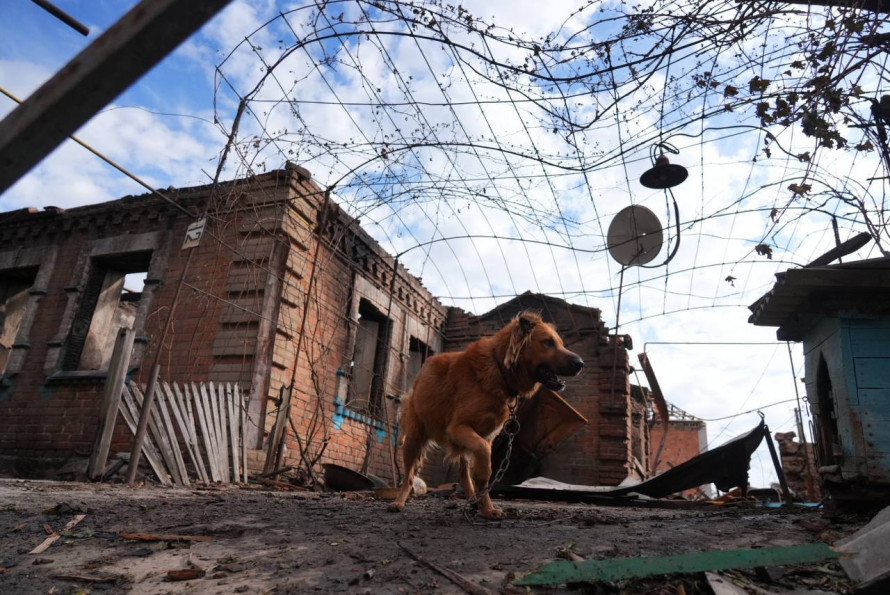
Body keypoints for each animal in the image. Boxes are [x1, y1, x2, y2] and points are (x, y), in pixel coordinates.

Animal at [386, 312, 584, 516]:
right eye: (548, 342)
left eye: (560, 343)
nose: (581, 364)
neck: (500, 369)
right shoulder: (458, 429)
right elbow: (484, 462)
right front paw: (486, 503)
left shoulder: (485, 436)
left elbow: (482, 471)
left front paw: (486, 507)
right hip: (414, 438)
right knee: (409, 476)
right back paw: (399, 501)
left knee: (463, 474)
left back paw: (473, 499)